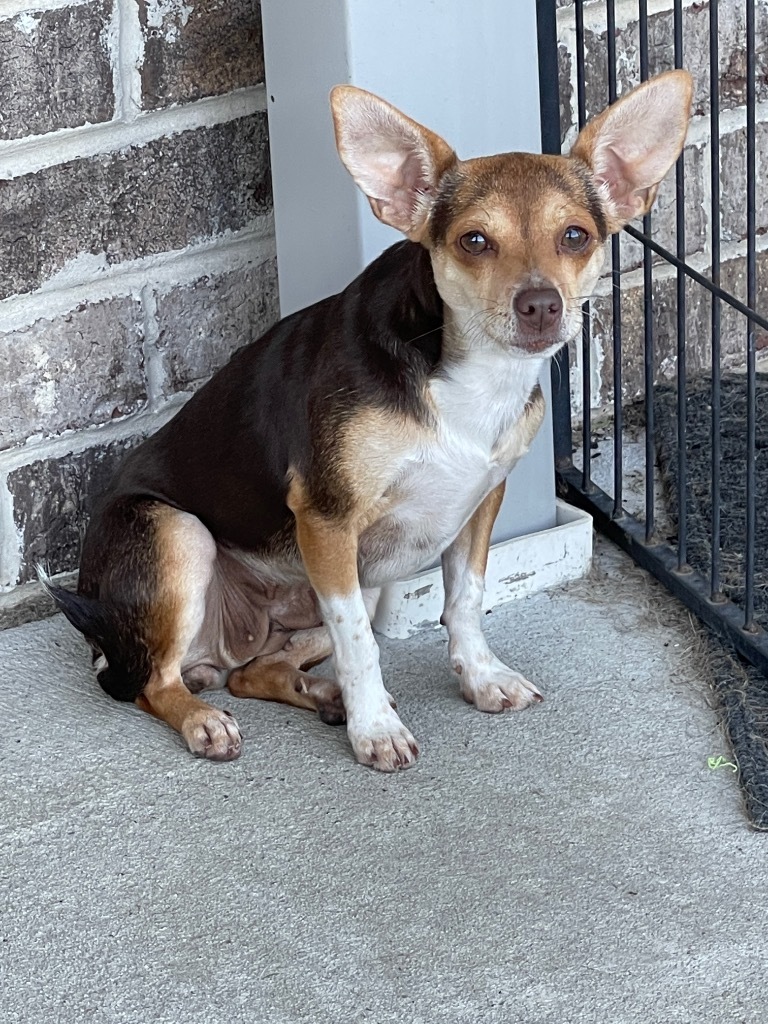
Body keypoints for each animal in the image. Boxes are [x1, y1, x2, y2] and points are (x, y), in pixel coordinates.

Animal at [45, 70, 696, 770]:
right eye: (474, 241)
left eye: (575, 235)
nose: (541, 305)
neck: (464, 378)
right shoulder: (327, 522)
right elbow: (360, 640)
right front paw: (375, 728)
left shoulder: (478, 504)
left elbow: (466, 600)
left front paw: (480, 677)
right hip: (180, 535)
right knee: (153, 684)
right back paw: (206, 720)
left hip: (356, 580)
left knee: (250, 673)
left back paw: (320, 695)